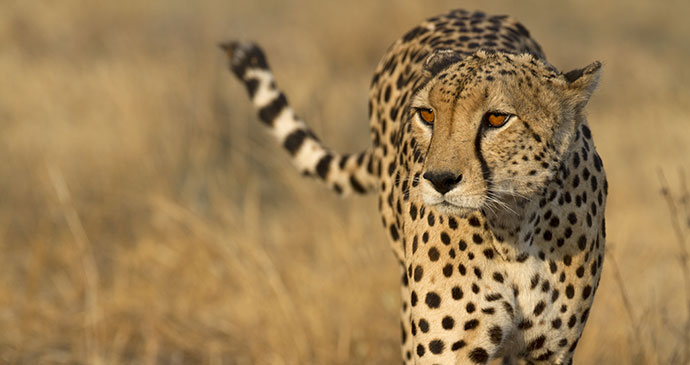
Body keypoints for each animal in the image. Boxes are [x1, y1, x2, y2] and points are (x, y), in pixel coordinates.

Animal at [219, 9, 600, 364]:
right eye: (427, 115)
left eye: (496, 118)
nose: (439, 179)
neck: (513, 226)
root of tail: (461, 11)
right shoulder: (444, 352)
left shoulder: (550, 351)